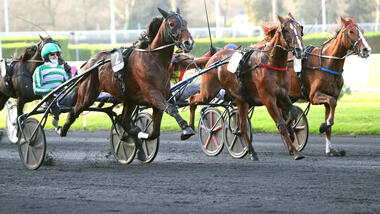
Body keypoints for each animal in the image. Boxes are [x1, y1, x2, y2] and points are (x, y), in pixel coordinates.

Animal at [57, 8, 194, 142]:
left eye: (186, 22)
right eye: (171, 24)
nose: (189, 43)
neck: (154, 59)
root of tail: (89, 62)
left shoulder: (162, 96)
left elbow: (155, 132)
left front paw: (142, 134)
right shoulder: (153, 94)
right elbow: (171, 108)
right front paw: (186, 129)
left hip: (129, 99)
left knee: (124, 121)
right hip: (87, 95)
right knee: (74, 110)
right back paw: (61, 129)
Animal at [189, 12, 306, 160]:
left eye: (300, 28)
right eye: (286, 30)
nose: (300, 50)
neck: (272, 63)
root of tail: (213, 56)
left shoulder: (283, 95)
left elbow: (293, 112)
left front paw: (291, 132)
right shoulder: (268, 98)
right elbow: (281, 123)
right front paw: (295, 151)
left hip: (241, 100)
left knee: (242, 126)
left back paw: (251, 152)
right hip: (208, 91)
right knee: (193, 99)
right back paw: (188, 129)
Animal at [288, 16, 372, 156]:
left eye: (363, 31)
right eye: (351, 31)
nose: (366, 50)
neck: (327, 62)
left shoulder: (328, 98)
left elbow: (331, 116)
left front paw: (330, 149)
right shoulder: (314, 96)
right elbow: (332, 104)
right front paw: (324, 125)